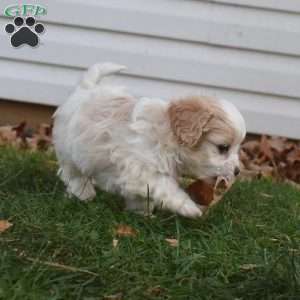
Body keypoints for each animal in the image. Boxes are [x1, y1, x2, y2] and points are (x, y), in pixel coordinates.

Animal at [53, 63, 246, 218]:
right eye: (223, 147)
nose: (237, 171)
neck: (168, 135)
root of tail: (86, 89)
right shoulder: (141, 169)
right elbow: (165, 188)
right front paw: (189, 208)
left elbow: (141, 197)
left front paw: (142, 214)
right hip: (68, 150)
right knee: (73, 174)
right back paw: (83, 193)